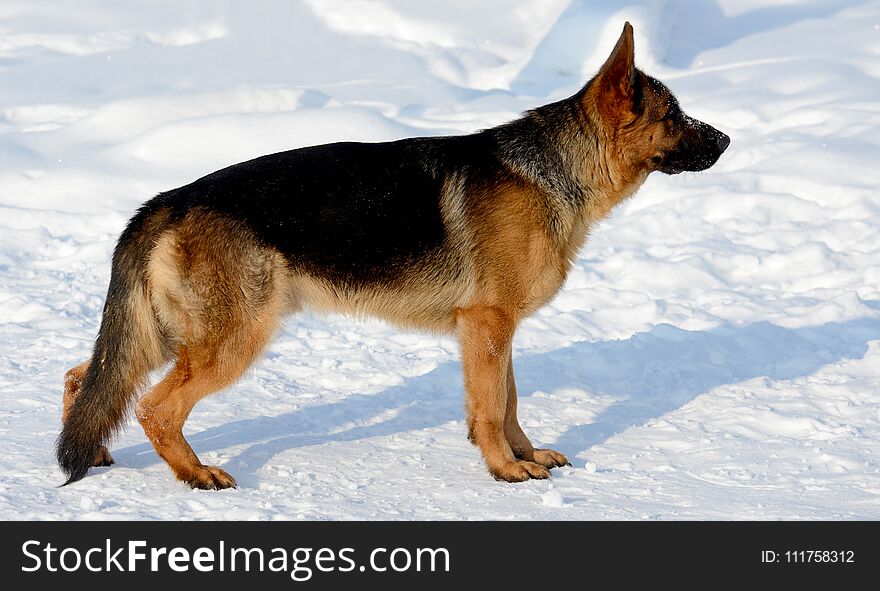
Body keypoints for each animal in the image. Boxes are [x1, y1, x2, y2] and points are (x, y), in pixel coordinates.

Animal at [56, 24, 728, 490]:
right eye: (674, 114)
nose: (726, 138)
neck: (553, 170)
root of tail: (167, 200)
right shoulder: (487, 324)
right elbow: (491, 407)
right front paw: (504, 470)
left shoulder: (496, 329)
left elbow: (509, 401)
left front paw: (525, 454)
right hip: (230, 341)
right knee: (153, 407)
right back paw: (196, 475)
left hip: (166, 336)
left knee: (84, 379)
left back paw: (97, 453)